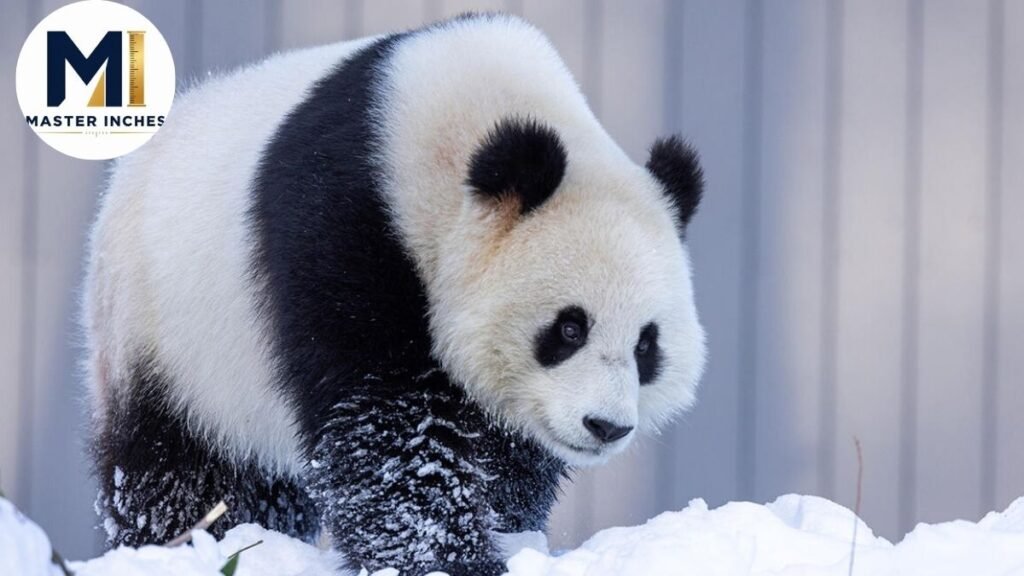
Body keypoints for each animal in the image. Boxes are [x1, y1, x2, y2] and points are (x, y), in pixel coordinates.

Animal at [83, 13, 706, 576]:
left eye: (646, 345)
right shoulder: (345, 229)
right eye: (570, 328)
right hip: (167, 333)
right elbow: (388, 425)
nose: (607, 427)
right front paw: (451, 559)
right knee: (175, 466)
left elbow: (506, 453)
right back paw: (182, 541)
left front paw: (509, 529)